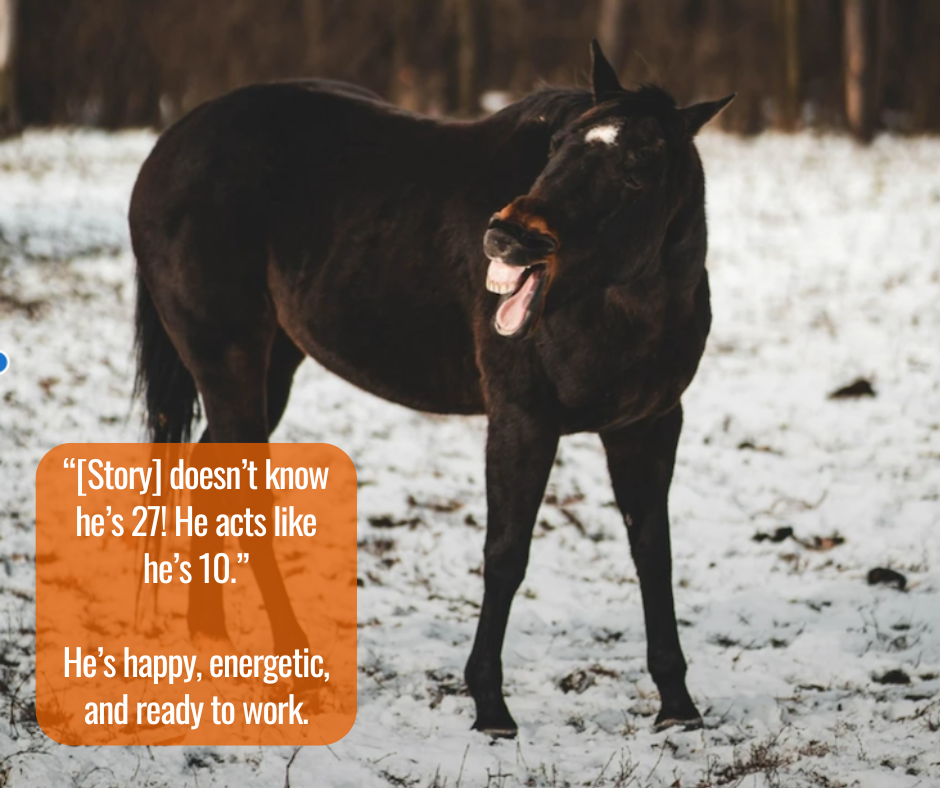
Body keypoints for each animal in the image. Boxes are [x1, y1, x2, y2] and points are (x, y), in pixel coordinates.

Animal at [130, 40, 736, 736]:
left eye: (638, 168)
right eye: (556, 146)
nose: (506, 238)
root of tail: (170, 148)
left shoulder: (649, 425)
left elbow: (653, 552)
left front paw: (677, 704)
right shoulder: (522, 419)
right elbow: (506, 554)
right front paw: (490, 706)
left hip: (270, 366)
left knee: (214, 480)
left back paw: (211, 636)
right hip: (227, 358)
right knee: (246, 501)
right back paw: (292, 661)